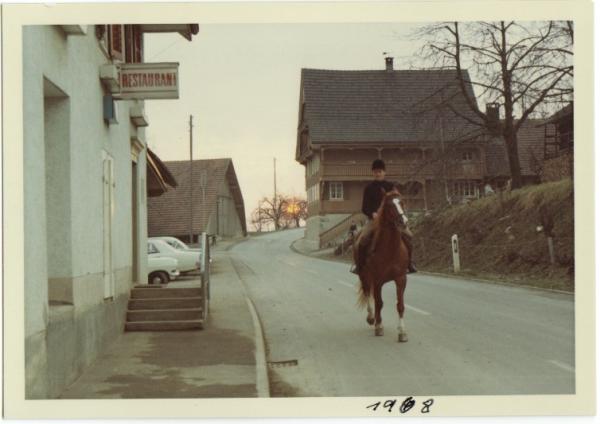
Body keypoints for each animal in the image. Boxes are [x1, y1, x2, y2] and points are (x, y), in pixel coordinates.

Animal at [354, 189, 410, 342]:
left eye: (402, 202)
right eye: (390, 206)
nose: (404, 222)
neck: (390, 249)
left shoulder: (401, 279)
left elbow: (400, 305)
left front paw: (402, 332)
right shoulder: (377, 280)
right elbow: (379, 303)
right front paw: (379, 327)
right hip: (364, 277)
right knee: (368, 294)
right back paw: (371, 318)